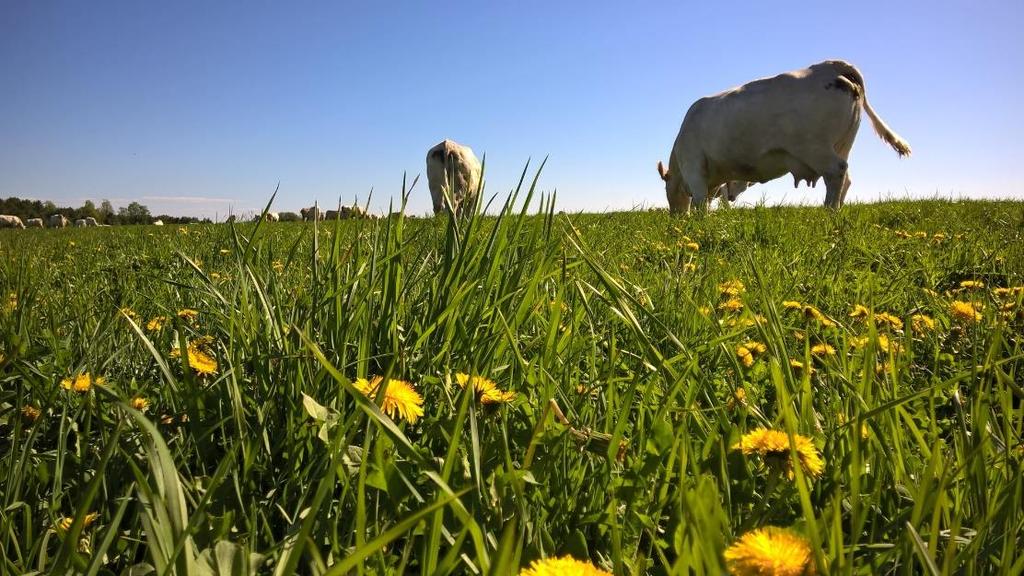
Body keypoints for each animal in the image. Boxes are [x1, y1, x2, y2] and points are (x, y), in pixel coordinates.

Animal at [655, 59, 913, 212]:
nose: (676, 217)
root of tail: (828, 65)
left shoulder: (694, 167)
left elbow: (700, 203)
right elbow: (709, 200)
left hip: (815, 148)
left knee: (836, 172)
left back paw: (828, 211)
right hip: (842, 145)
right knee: (846, 179)